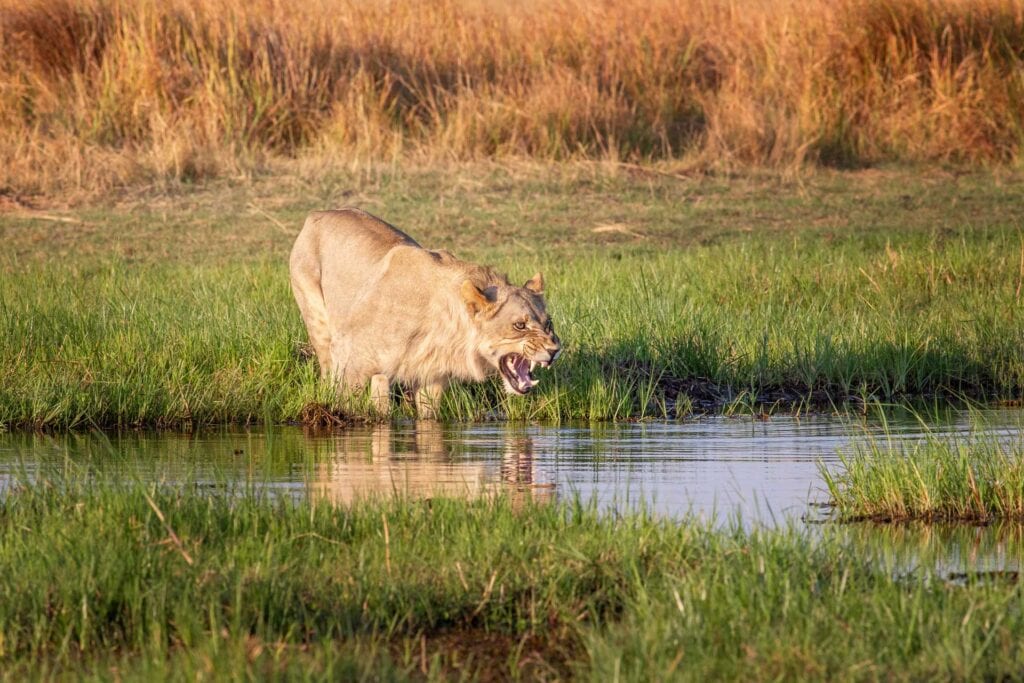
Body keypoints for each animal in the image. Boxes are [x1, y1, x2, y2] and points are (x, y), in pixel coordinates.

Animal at [289, 208, 562, 418]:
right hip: (318, 323)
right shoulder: (348, 358)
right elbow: (344, 409)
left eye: (548, 324)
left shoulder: (433, 378)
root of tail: (319, 213)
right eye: (520, 325)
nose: (554, 350)